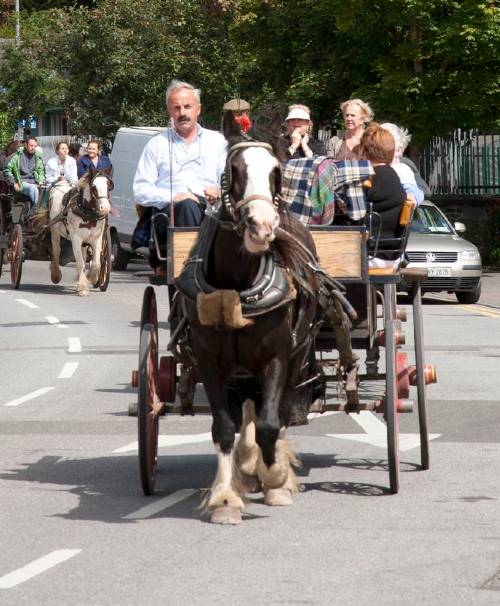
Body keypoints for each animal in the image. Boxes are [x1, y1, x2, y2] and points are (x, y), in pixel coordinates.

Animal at [178, 115, 322, 528]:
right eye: (234, 170)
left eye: (276, 172)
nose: (262, 226)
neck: (238, 285)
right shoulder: (210, 361)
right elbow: (225, 427)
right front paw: (226, 497)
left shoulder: (277, 356)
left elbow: (272, 423)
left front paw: (276, 478)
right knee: (247, 412)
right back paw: (245, 466)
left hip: (297, 354)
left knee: (277, 412)